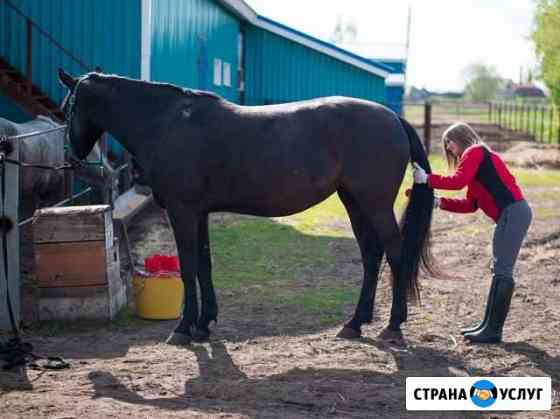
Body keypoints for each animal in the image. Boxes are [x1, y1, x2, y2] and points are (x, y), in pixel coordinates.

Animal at [58, 69, 438, 344]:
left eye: (69, 108)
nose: (71, 157)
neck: (168, 122)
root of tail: (392, 118)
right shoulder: (198, 213)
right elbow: (204, 265)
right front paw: (203, 324)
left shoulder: (182, 211)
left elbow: (188, 266)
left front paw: (182, 328)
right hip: (354, 202)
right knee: (371, 256)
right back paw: (355, 323)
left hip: (375, 204)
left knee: (396, 256)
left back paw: (393, 327)